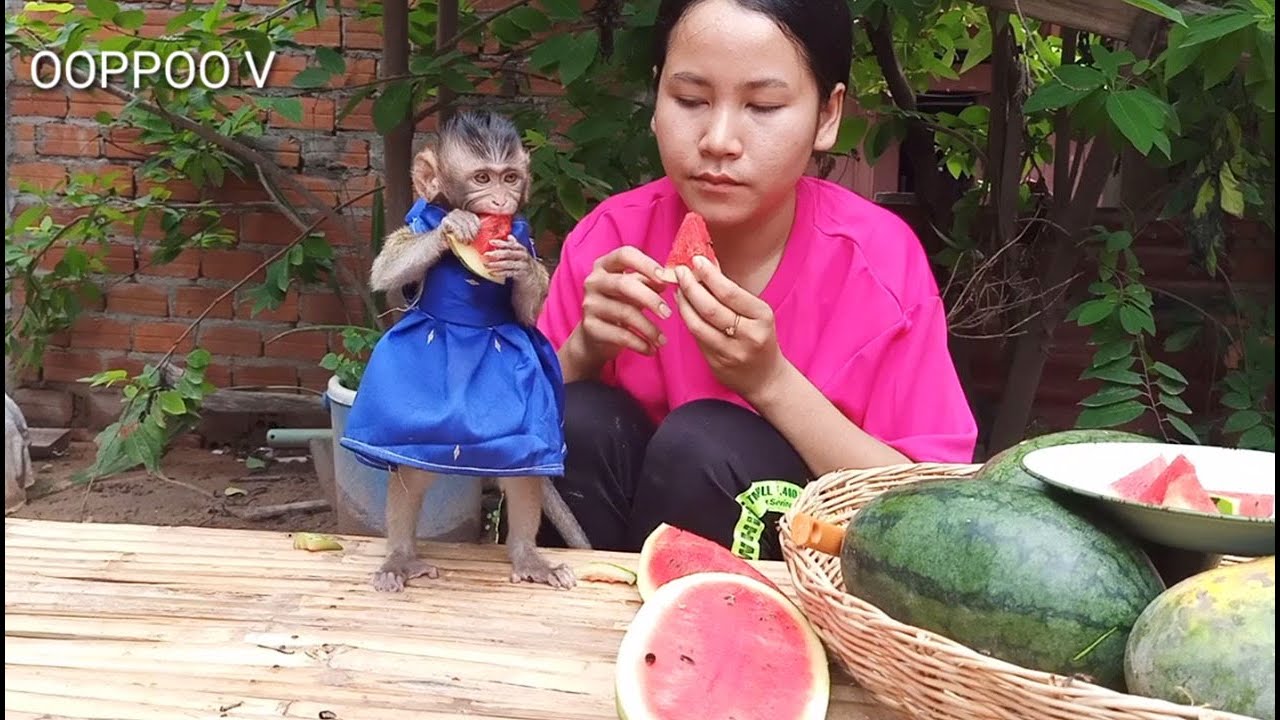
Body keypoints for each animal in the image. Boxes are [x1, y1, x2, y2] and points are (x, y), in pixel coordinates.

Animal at [338, 109, 592, 594]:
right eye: (482, 178)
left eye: (510, 177)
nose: (500, 203)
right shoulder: (414, 224)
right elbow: (389, 269)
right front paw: (451, 226)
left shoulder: (524, 236)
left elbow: (527, 316)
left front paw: (522, 268)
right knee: (411, 473)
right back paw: (400, 556)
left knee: (526, 467)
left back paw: (528, 556)